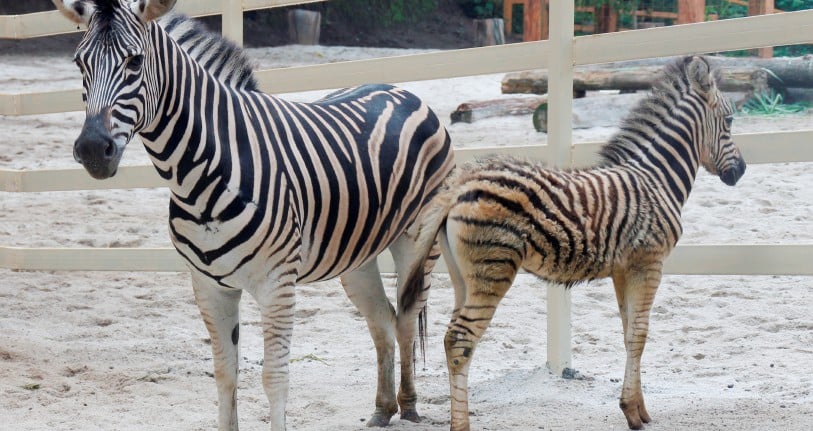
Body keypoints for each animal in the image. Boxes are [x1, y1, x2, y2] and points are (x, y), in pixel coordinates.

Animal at [54, 0, 454, 431]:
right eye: (79, 63)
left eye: (134, 62)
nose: (93, 149)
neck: (201, 177)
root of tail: (401, 90)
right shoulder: (208, 286)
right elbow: (225, 373)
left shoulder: (277, 284)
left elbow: (273, 377)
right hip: (356, 253)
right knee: (382, 320)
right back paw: (382, 408)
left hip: (418, 239)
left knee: (406, 318)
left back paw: (409, 405)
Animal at [400, 55, 744, 430]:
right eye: (729, 120)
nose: (741, 171)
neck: (655, 178)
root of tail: (461, 183)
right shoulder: (649, 262)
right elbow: (640, 335)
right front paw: (635, 414)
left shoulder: (623, 269)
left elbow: (627, 334)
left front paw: (634, 407)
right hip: (493, 272)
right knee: (460, 340)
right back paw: (460, 425)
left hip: (462, 276)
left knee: (451, 338)